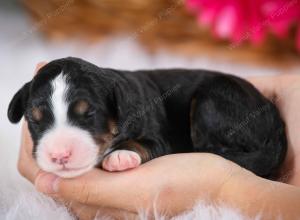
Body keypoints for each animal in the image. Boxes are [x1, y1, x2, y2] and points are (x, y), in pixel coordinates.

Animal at [7, 57, 286, 179]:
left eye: (90, 114)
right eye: (35, 120)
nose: (59, 156)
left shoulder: (160, 136)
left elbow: (144, 144)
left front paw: (120, 155)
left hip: (213, 97)